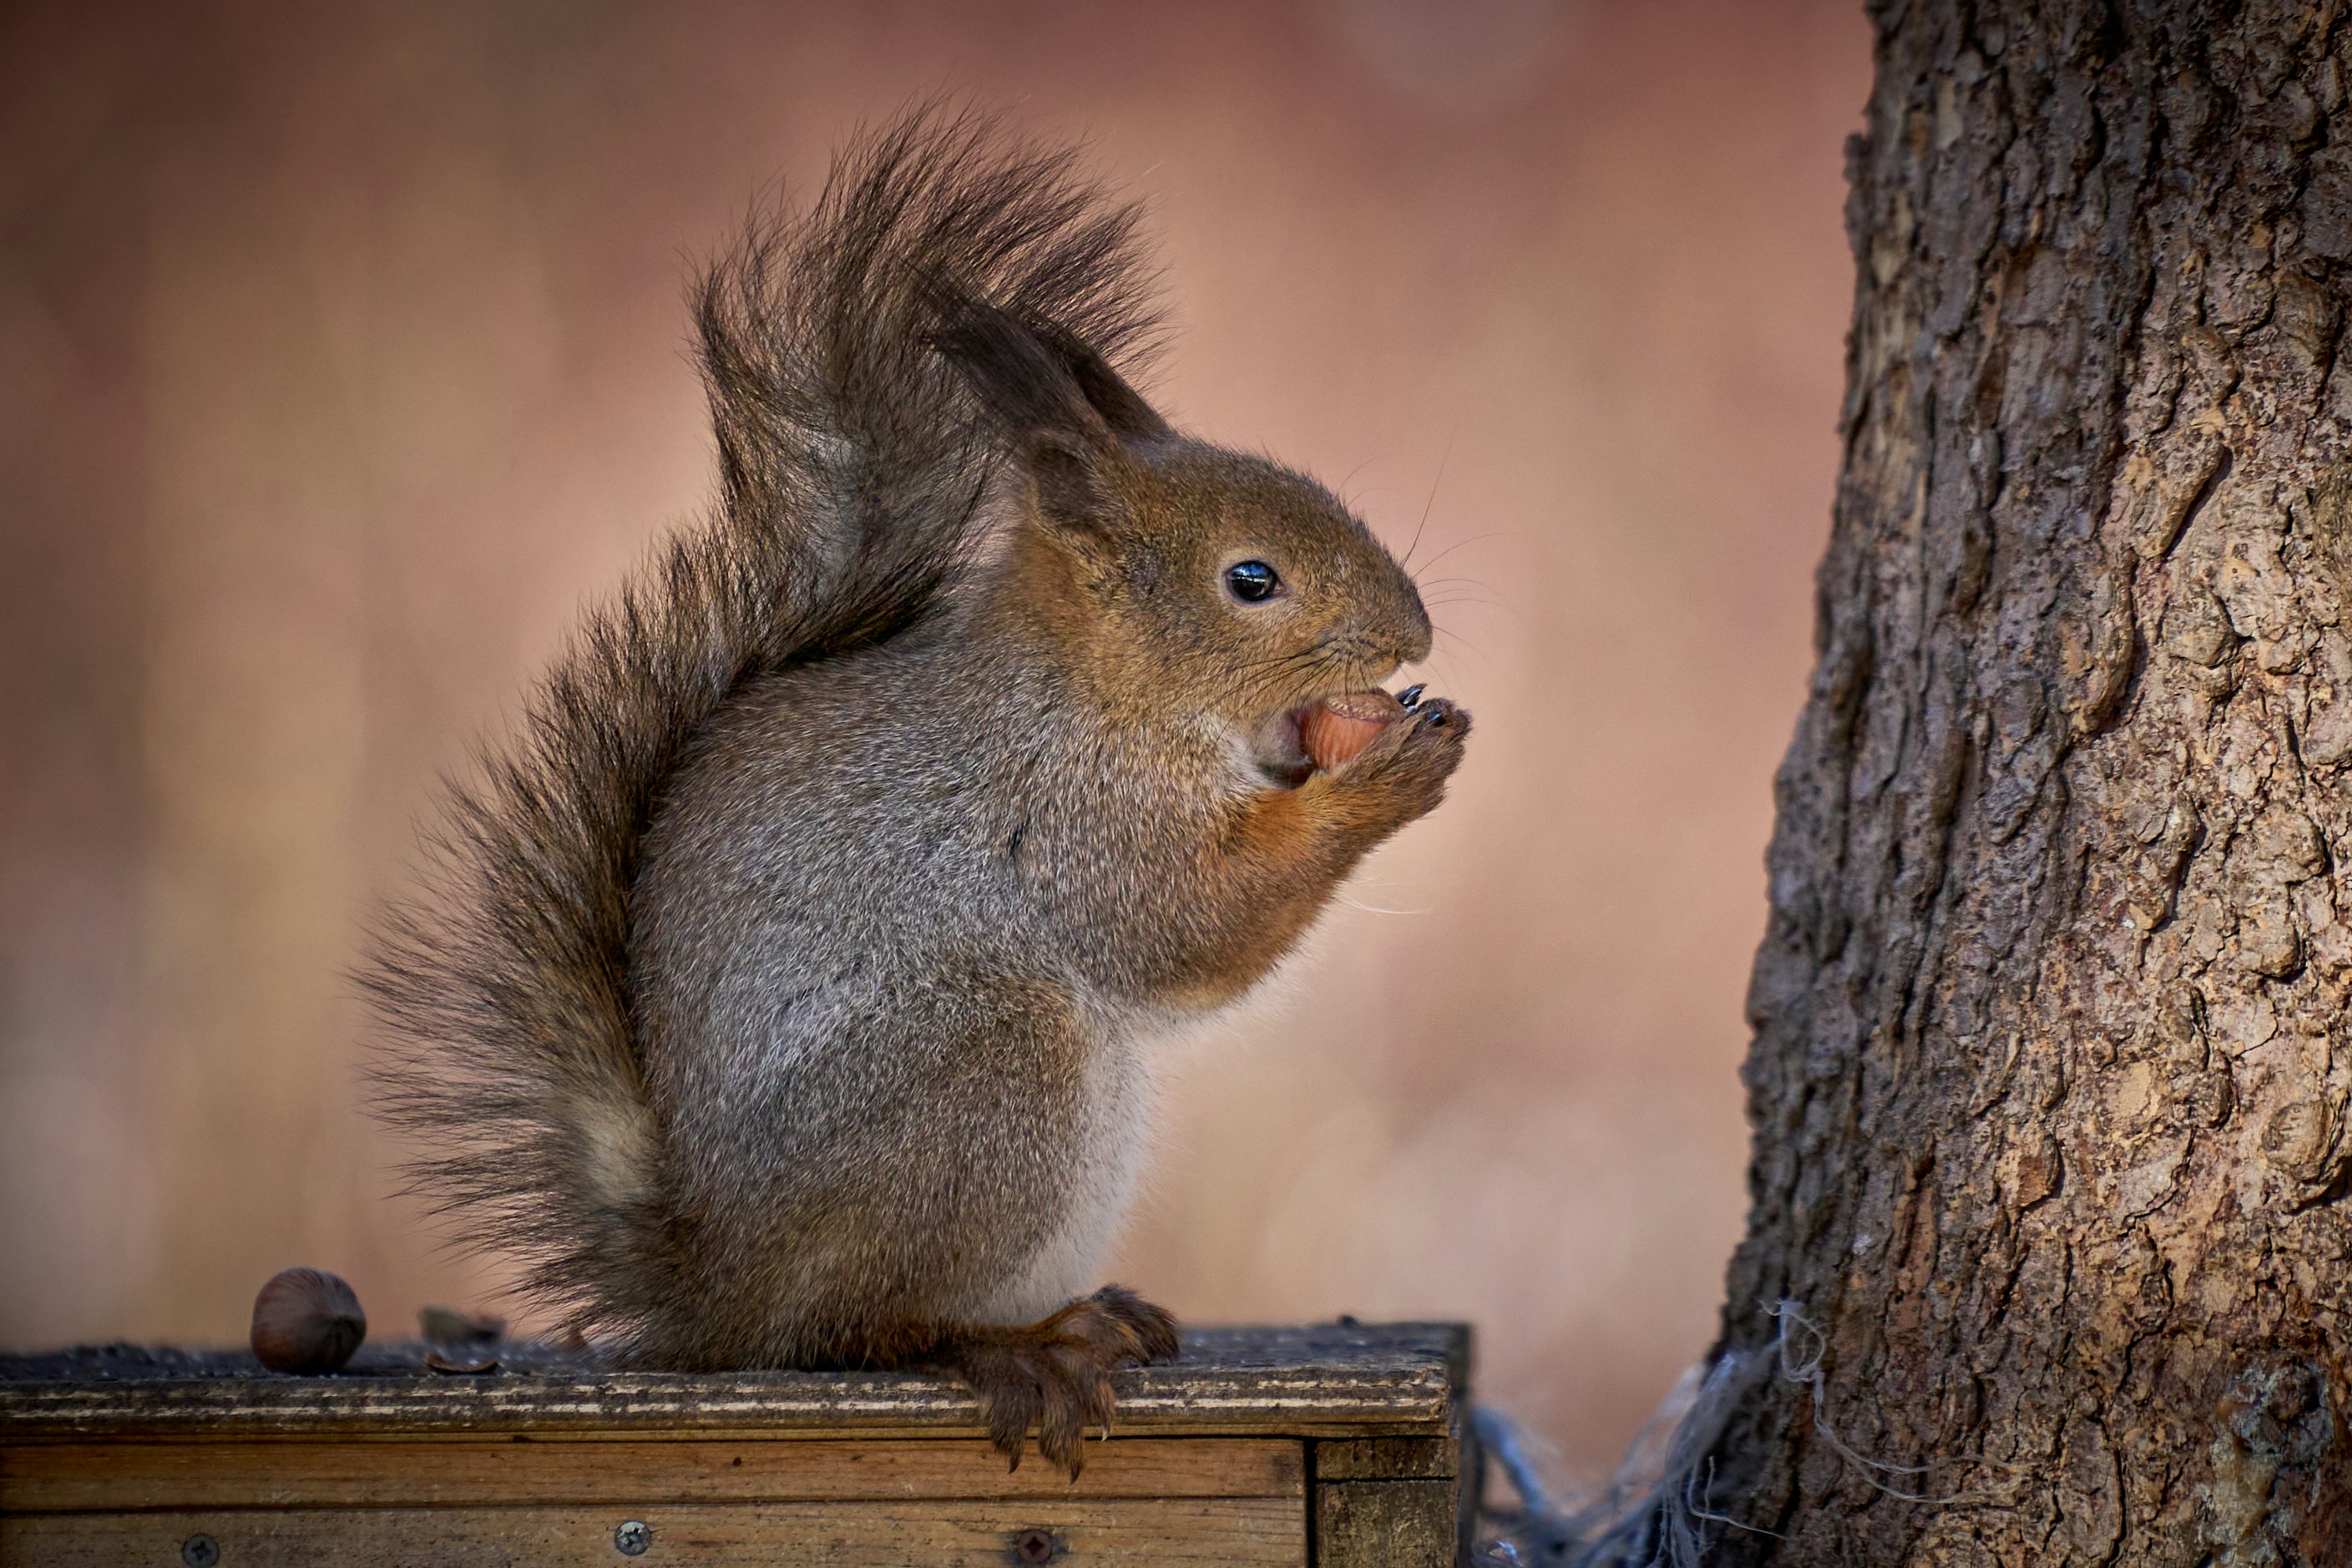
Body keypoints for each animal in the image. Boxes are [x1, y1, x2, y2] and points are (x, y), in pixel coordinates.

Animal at [361, 109, 1469, 1475]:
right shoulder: (1071, 811)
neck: (1100, 689)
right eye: (1250, 580)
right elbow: (1180, 927)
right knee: (858, 1327)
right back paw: (1014, 1346)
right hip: (986, 1077)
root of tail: (722, 1295)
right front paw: (1387, 780)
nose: (1414, 631)